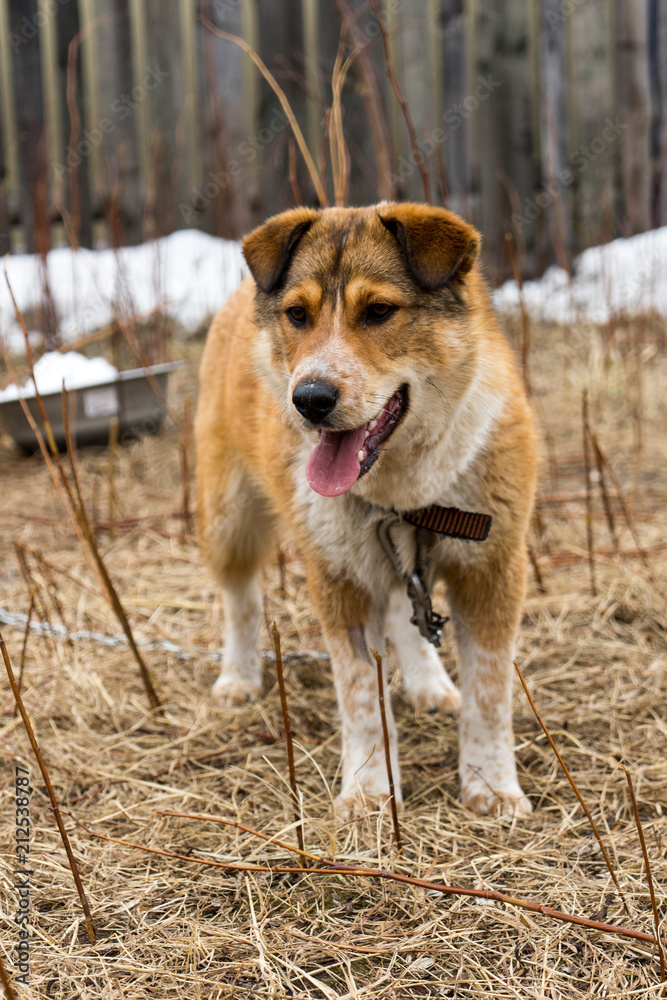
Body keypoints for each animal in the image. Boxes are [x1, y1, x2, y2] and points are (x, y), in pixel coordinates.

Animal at [197, 203, 536, 820]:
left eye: (378, 311)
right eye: (298, 315)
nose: (310, 399)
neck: (403, 495)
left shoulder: (492, 570)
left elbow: (490, 692)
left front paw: (492, 787)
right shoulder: (340, 579)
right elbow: (360, 697)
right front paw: (370, 793)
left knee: (405, 609)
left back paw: (430, 684)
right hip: (226, 517)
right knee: (241, 599)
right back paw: (238, 676)